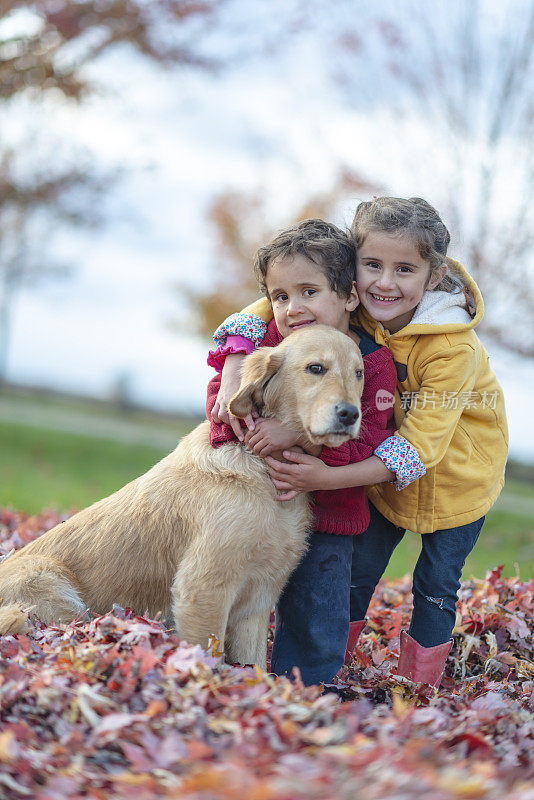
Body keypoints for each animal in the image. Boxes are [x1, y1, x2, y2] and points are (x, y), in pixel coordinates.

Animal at [0, 324, 366, 668]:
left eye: (359, 373)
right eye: (316, 368)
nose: (350, 413)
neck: (263, 467)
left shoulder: (258, 603)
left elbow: (255, 668)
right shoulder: (203, 590)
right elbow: (207, 657)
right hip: (55, 596)